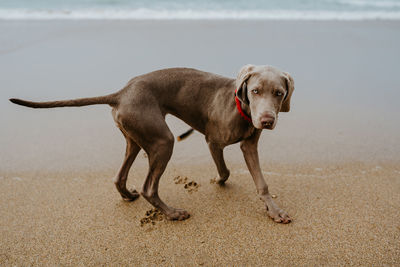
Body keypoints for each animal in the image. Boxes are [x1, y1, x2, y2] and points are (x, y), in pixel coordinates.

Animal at [10, 65, 294, 224]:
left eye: (279, 93)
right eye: (255, 91)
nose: (266, 120)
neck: (240, 108)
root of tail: (121, 93)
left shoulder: (249, 146)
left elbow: (261, 182)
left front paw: (275, 211)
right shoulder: (213, 141)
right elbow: (224, 170)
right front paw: (218, 181)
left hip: (136, 137)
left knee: (119, 176)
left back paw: (128, 195)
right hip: (162, 141)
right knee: (149, 188)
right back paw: (172, 214)